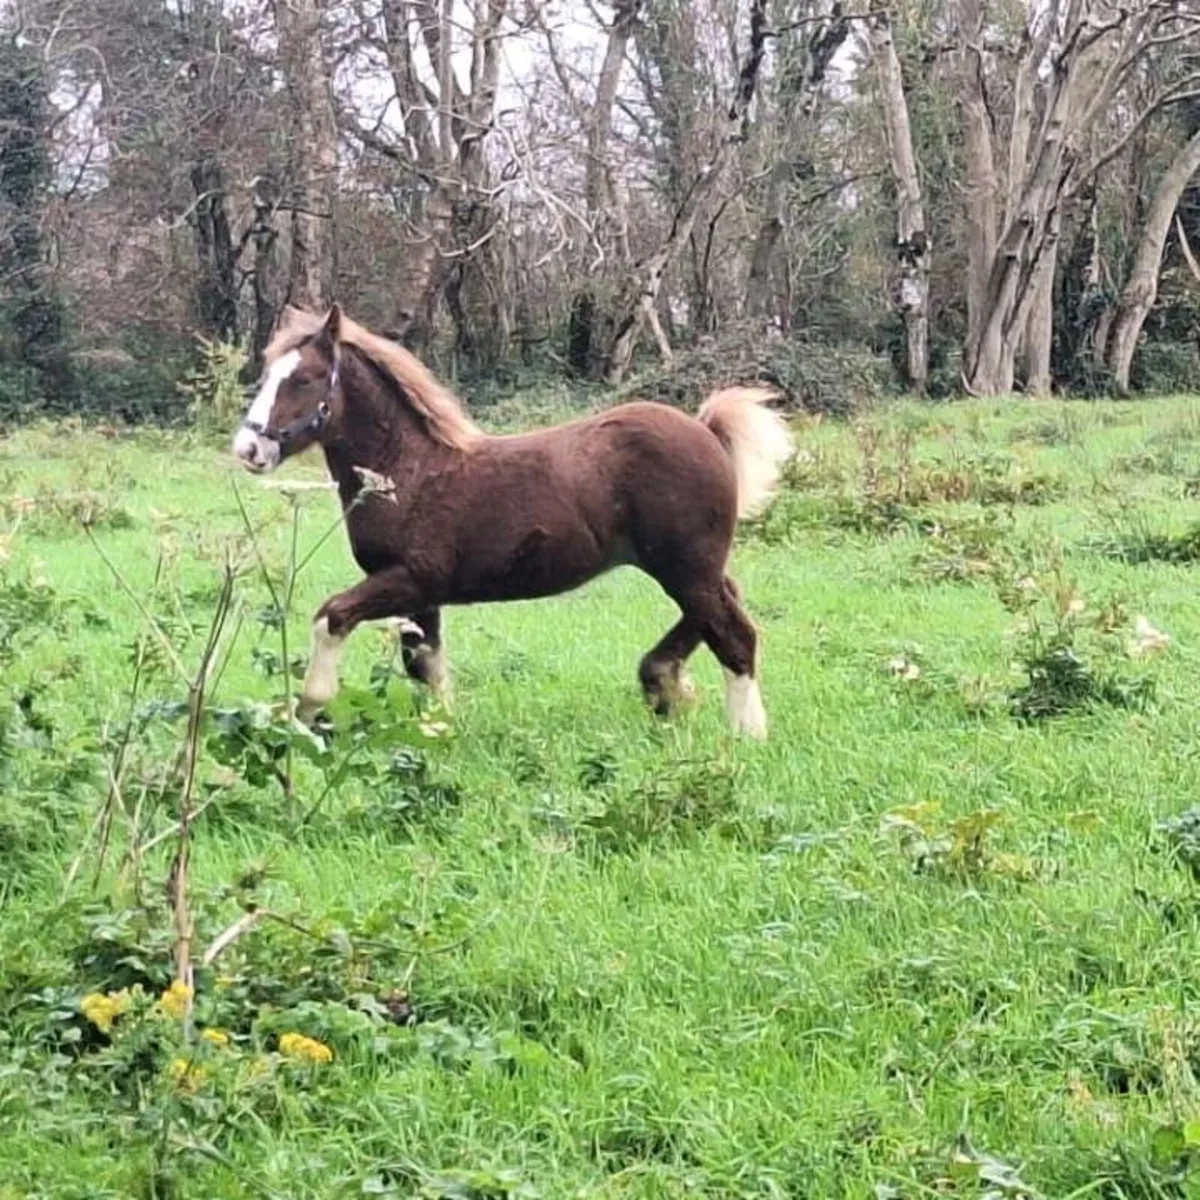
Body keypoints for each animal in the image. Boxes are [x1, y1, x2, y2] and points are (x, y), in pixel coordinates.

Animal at [231, 304, 793, 738]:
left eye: (303, 379)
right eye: (266, 374)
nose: (249, 449)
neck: (409, 470)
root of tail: (707, 429)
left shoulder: (410, 579)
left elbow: (331, 617)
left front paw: (309, 710)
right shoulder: (420, 597)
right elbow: (426, 667)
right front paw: (438, 731)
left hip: (685, 567)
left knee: (735, 633)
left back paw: (745, 734)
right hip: (688, 567)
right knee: (723, 606)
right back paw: (664, 683)